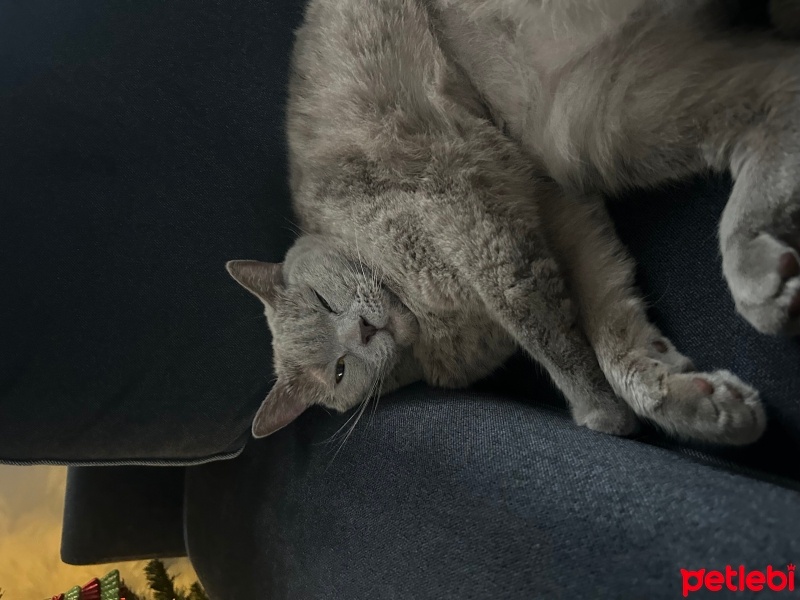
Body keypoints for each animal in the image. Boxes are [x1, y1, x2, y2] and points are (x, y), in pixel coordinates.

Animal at [225, 0, 800, 446]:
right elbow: (611, 333)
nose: (363, 329)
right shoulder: (561, 209)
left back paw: (756, 275)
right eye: (341, 370)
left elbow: (543, 327)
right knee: (778, 79)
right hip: (596, 116)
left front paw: (600, 414)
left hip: (578, 113)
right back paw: (767, 280)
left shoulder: (471, 219)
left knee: (777, 87)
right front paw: (697, 403)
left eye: (324, 301)